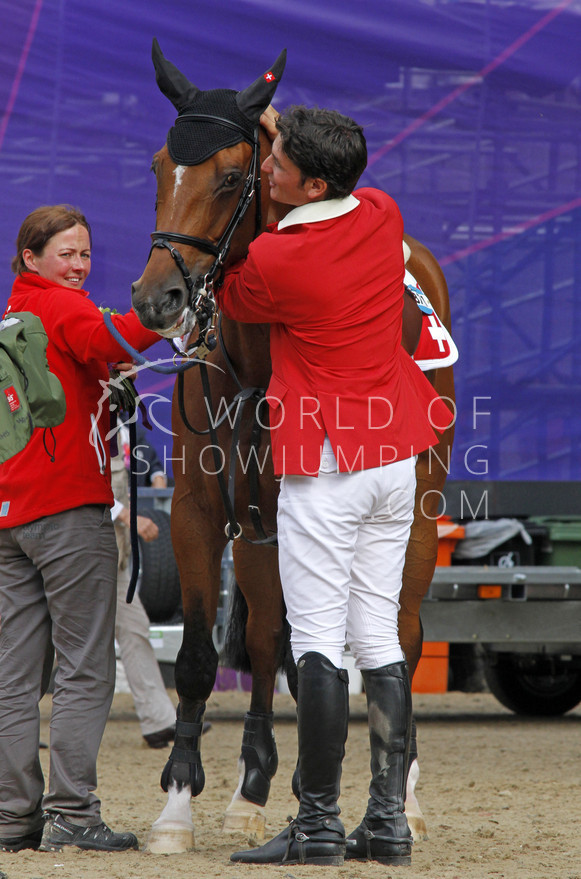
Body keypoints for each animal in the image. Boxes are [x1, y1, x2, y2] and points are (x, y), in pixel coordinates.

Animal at [130, 41, 454, 852]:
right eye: (158, 165)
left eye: (230, 176)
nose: (155, 299)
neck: (251, 356)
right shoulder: (203, 509)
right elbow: (202, 655)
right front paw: (179, 804)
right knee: (272, 633)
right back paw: (259, 786)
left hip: (418, 512)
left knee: (399, 631)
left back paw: (400, 794)